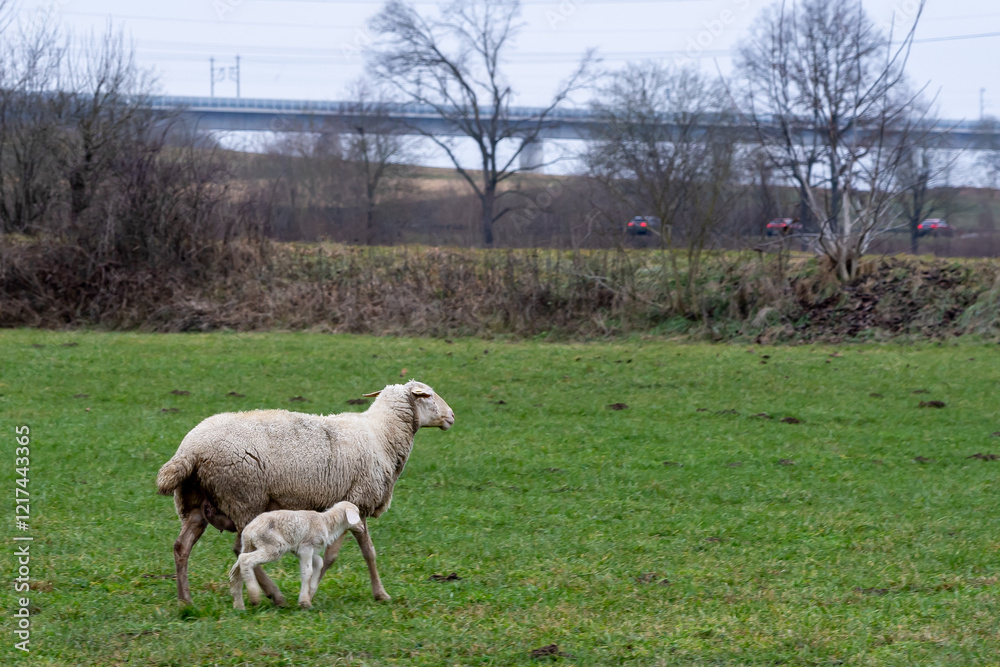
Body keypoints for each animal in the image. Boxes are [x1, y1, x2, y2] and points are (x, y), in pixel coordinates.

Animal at [229, 501, 363, 610]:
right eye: (357, 514)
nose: (362, 527)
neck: (326, 523)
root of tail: (248, 530)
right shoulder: (306, 546)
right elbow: (307, 572)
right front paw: (305, 602)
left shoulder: (301, 550)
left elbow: (319, 562)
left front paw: (311, 591)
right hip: (272, 546)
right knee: (245, 560)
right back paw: (254, 597)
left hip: (250, 545)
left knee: (236, 568)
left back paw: (239, 605)